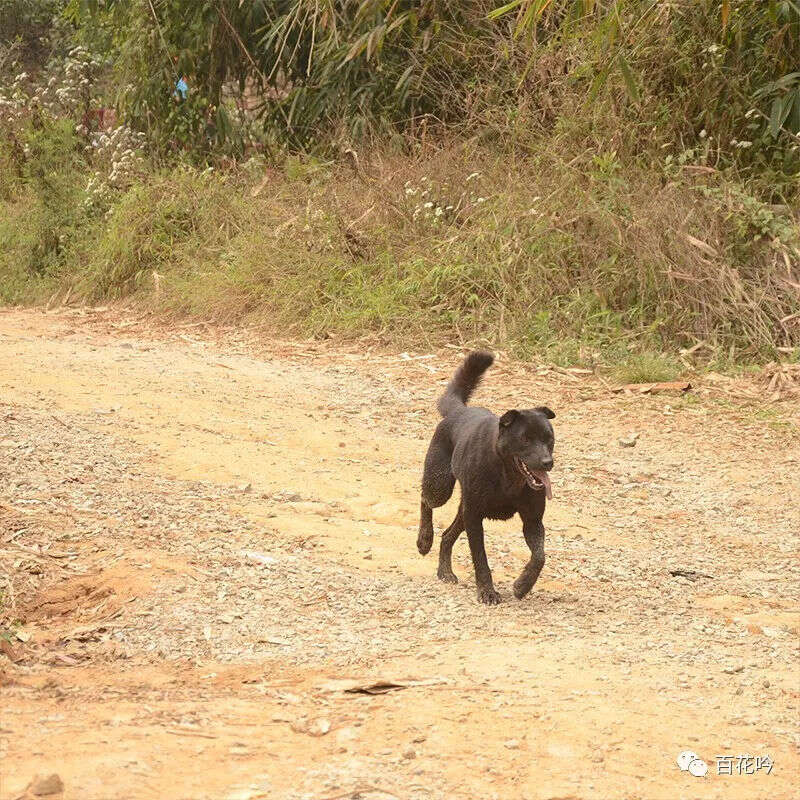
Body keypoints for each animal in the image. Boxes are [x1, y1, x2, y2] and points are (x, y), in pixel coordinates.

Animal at [416, 354, 552, 604]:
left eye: (549, 438)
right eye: (526, 439)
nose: (548, 462)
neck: (508, 476)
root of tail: (458, 411)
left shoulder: (532, 520)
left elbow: (539, 557)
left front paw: (522, 586)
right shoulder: (474, 516)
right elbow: (480, 558)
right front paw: (487, 592)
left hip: (463, 509)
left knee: (447, 535)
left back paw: (445, 572)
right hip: (440, 485)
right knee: (425, 500)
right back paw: (424, 540)